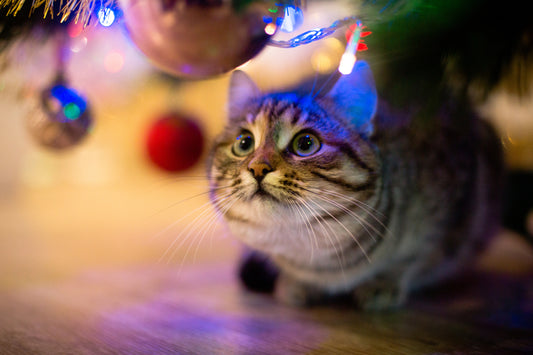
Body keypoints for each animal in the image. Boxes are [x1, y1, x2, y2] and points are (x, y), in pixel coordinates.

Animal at [206, 61, 500, 312]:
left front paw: (384, 283)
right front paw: (297, 284)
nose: (258, 168)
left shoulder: (447, 219)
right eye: (244, 143)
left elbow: (412, 260)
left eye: (306, 144)